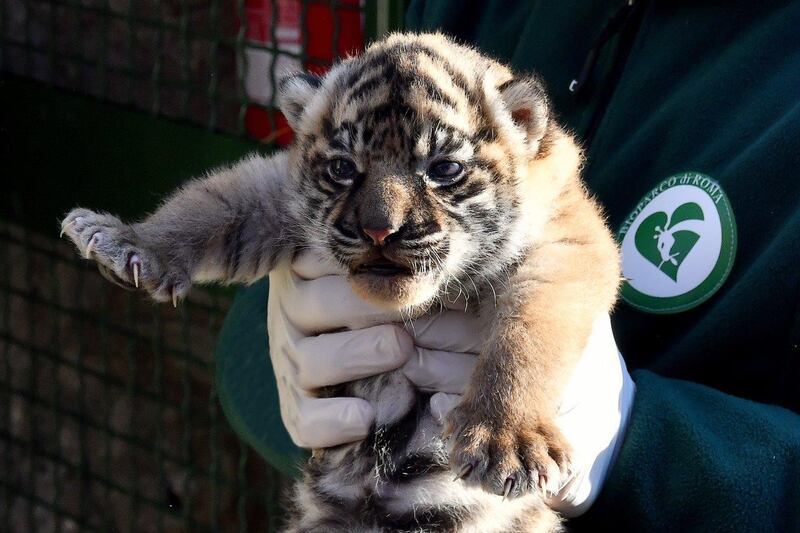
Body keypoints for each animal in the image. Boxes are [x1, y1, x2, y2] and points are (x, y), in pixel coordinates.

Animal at [60, 32, 620, 532]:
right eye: (343, 168)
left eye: (443, 169)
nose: (379, 230)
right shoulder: (276, 192)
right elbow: (209, 203)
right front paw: (125, 241)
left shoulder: (564, 250)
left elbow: (528, 336)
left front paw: (506, 440)